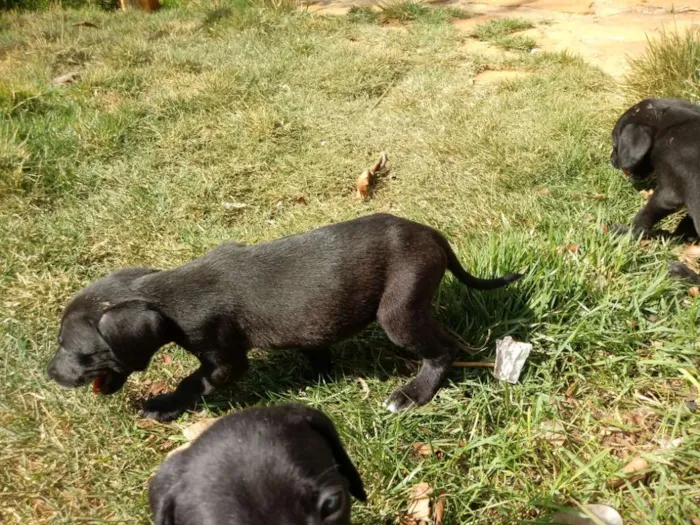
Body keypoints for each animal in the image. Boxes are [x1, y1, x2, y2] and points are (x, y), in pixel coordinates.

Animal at [46, 211, 524, 420]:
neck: (165, 296)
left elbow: (193, 382)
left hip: (399, 312)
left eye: (77, 351)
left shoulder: (223, 359)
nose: (50, 374)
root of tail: (431, 234)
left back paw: (413, 393)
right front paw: (318, 374)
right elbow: (315, 347)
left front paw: (164, 405)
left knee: (442, 350)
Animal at [608, 96, 700, 280]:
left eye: (615, 143)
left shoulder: (667, 193)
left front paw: (628, 232)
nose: (611, 160)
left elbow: (643, 216)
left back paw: (680, 272)